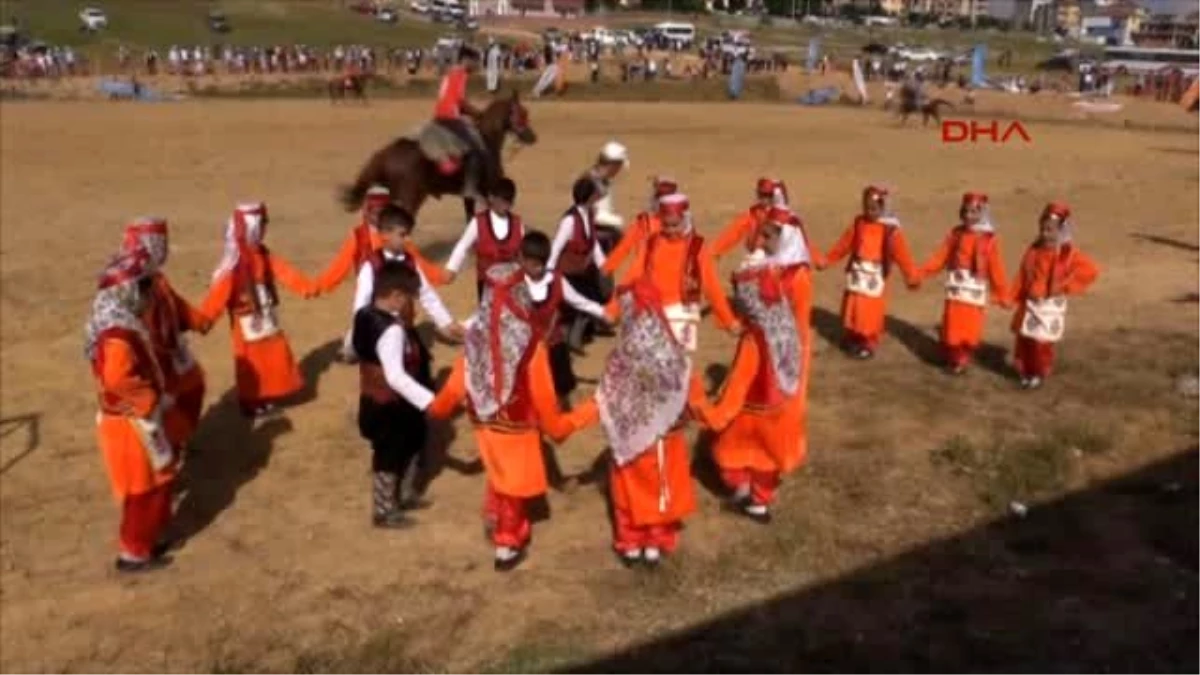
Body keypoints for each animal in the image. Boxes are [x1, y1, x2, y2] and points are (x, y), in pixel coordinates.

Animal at [343, 89, 540, 219]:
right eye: (522, 113)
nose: (532, 137)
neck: (486, 139)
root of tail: (385, 154)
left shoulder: (468, 196)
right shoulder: (488, 189)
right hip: (410, 198)